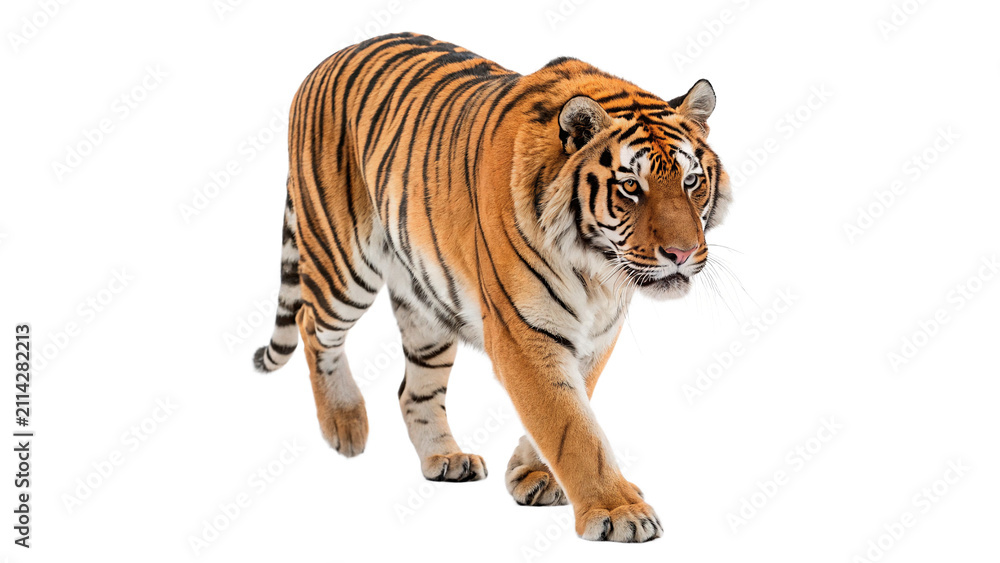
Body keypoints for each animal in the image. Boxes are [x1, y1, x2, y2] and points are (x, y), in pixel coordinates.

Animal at [253, 32, 731, 543]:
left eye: (692, 181)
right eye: (630, 188)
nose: (682, 253)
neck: (597, 271)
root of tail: (325, 60)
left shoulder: (598, 334)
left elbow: (575, 401)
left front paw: (532, 474)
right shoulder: (523, 333)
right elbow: (570, 425)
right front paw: (619, 510)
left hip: (425, 303)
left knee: (413, 388)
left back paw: (444, 458)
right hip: (343, 265)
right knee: (311, 325)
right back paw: (344, 424)